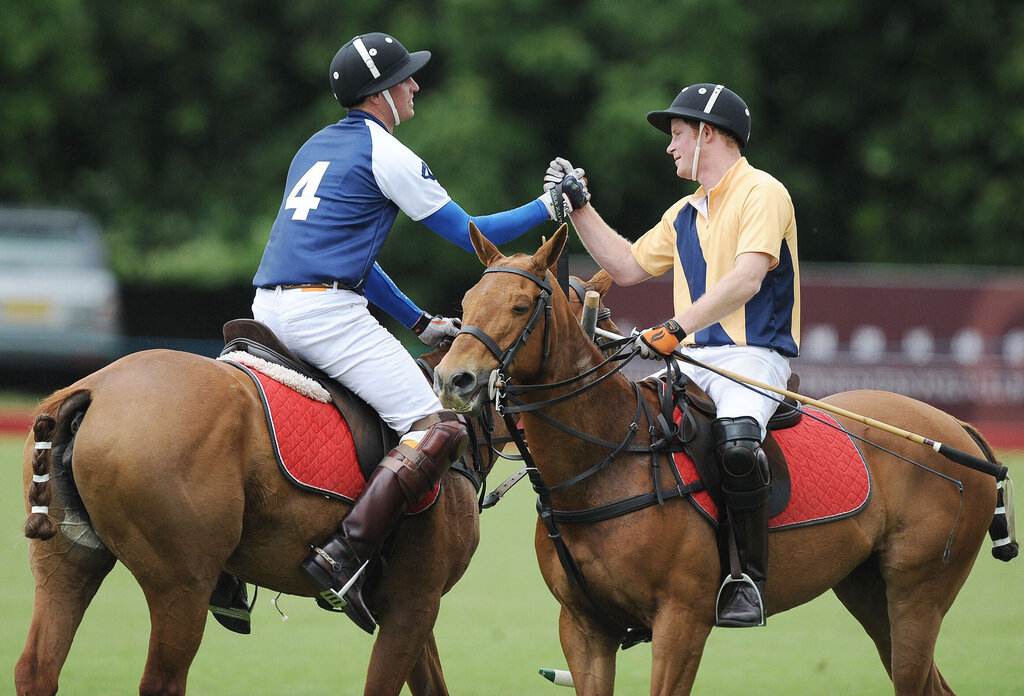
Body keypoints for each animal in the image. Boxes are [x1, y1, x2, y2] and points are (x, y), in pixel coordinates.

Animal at [16, 272, 614, 696]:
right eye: (600, 319)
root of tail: (92, 392)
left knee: (36, 667)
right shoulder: (416, 602)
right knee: (161, 680)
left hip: (69, 561)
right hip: (180, 582)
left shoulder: (408, 604)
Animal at [432, 227, 1015, 696]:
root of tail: (958, 430)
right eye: (468, 298)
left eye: (521, 305)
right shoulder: (582, 626)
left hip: (919, 592)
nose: (453, 378)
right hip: (869, 590)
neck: (604, 464)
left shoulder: (681, 621)